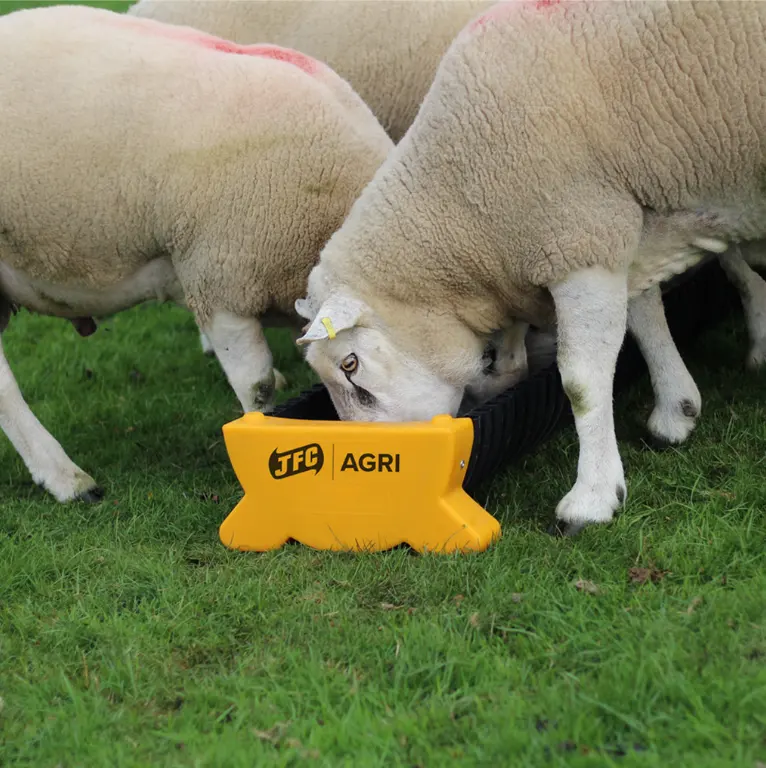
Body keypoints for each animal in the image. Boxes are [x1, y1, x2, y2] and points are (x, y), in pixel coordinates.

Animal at [292, 0, 766, 535]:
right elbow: (646, 322)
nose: (373, 484)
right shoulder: (616, 225)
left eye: (350, 365)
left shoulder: (577, 238)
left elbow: (582, 381)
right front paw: (677, 410)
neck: (462, 201)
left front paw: (592, 498)